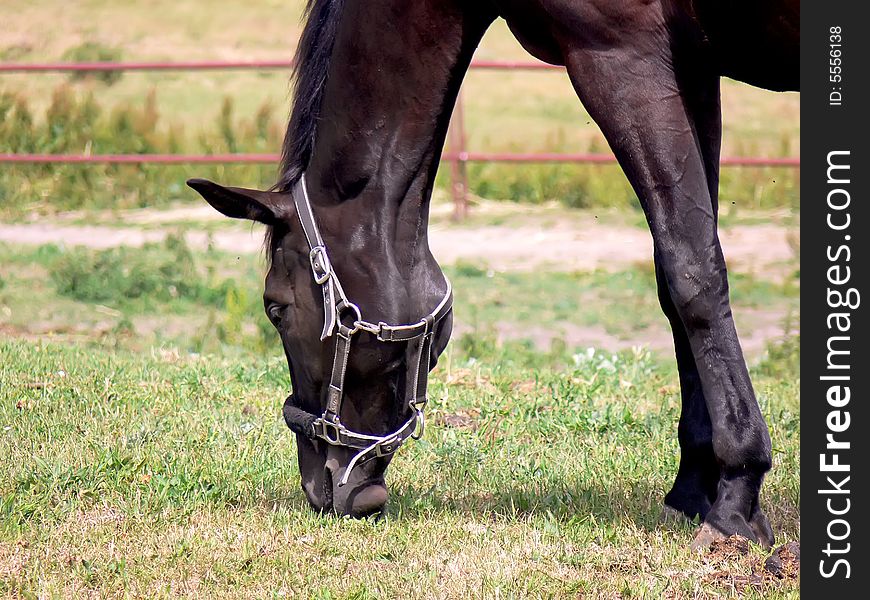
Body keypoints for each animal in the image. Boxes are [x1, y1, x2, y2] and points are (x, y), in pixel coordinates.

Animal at [187, 0, 800, 548]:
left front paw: (735, 500)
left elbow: (693, 273)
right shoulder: (692, 66)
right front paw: (694, 488)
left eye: (276, 308)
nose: (320, 488)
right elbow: (678, 278)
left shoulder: (623, 59)